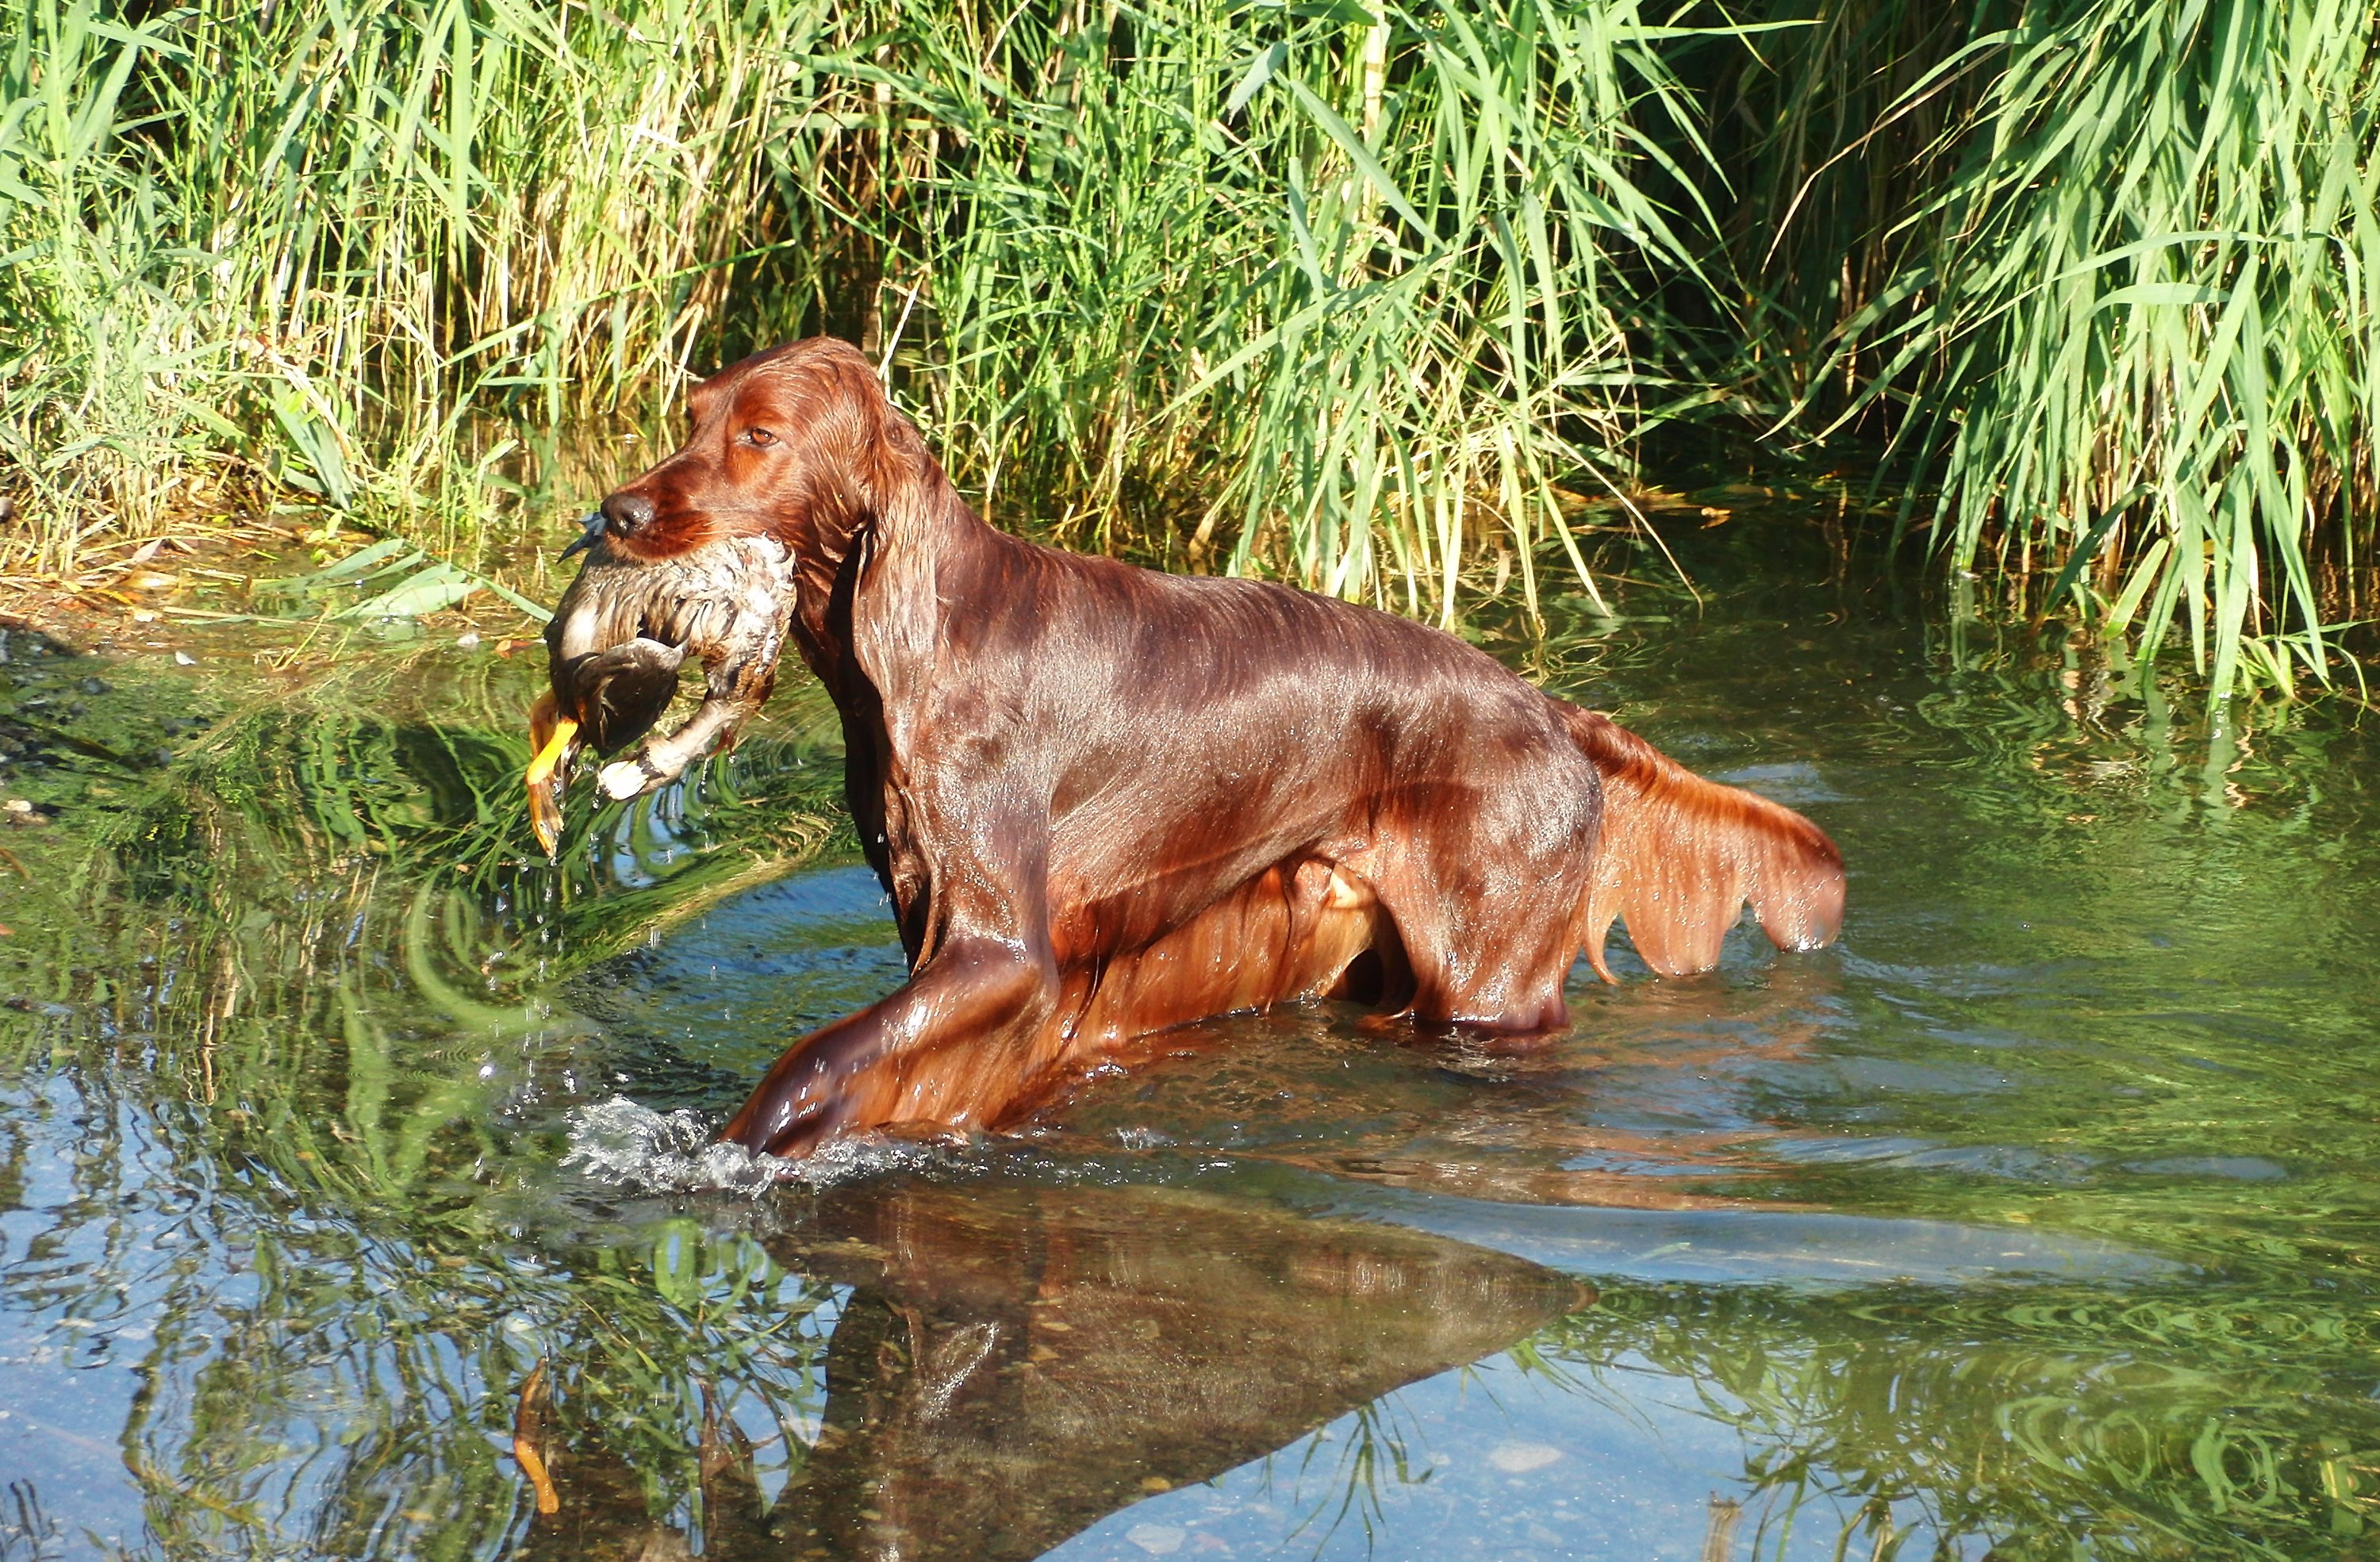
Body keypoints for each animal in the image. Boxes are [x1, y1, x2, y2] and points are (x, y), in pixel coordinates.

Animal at [531, 338, 1847, 1157]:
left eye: (759, 436)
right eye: (691, 417)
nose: (619, 514)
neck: (918, 630)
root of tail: (1555, 711)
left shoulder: (1004, 951)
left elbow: (822, 1058)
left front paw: (735, 1148)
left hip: (1489, 981)